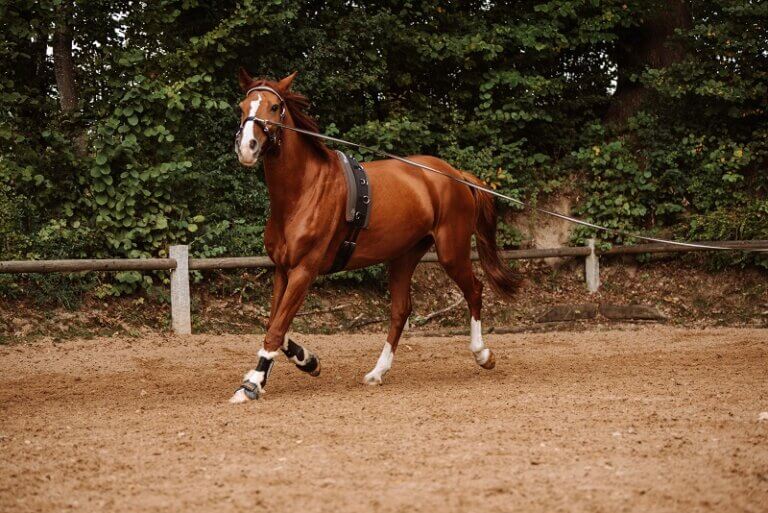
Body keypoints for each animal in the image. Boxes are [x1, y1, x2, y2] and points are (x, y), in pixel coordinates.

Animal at [229, 69, 519, 403]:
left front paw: (252, 384)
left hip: (452, 251)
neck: (303, 191)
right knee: (401, 310)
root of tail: (456, 175)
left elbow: (276, 328)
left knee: (474, 290)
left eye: (275, 107)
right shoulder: (282, 269)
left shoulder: (304, 270)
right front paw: (308, 361)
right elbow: (275, 323)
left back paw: (482, 354)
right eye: (242, 106)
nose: (247, 147)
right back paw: (377, 373)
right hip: (404, 256)